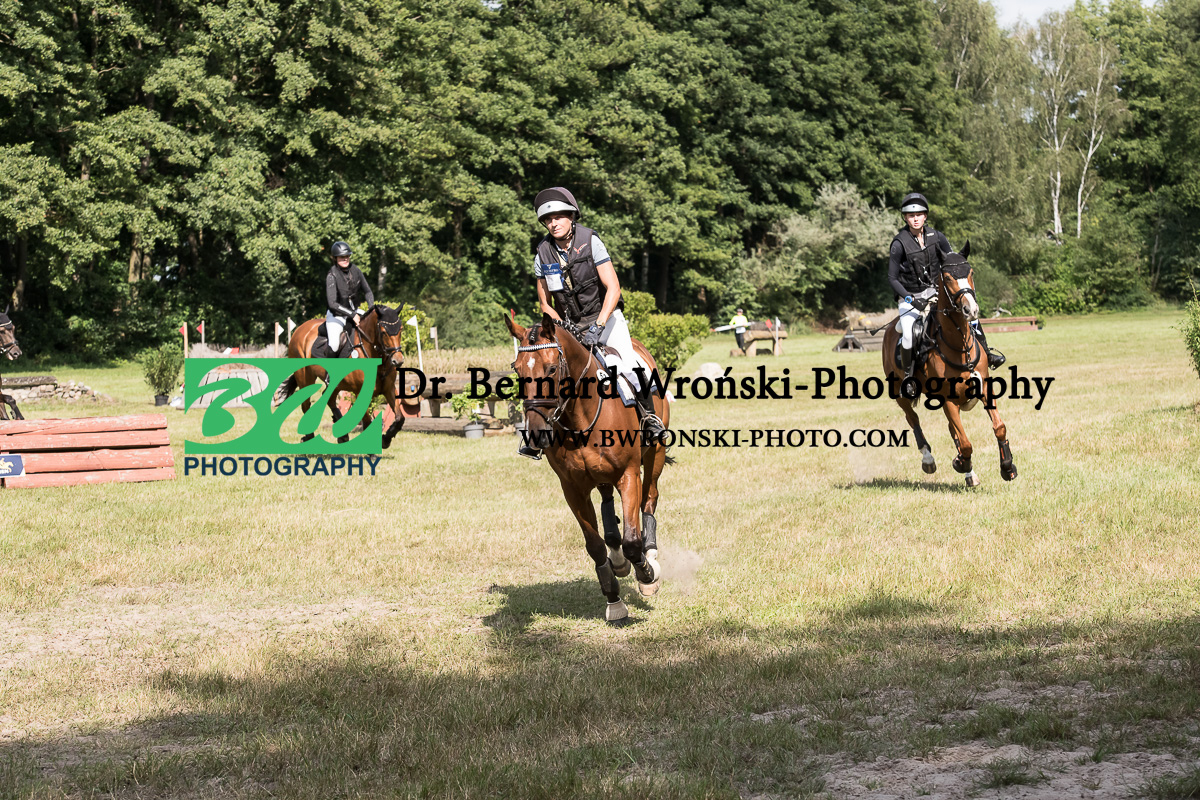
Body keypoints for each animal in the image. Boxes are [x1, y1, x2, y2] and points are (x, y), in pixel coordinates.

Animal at [276, 304, 406, 448]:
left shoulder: (389, 389)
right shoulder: (360, 393)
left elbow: (400, 418)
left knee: (329, 399)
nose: (398, 360)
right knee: (306, 405)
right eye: (383, 332)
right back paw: (309, 438)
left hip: (336, 384)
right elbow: (367, 421)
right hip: (305, 378)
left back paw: (342, 436)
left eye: (400, 330)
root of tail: (299, 330)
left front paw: (386, 440)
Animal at [504, 312, 670, 622]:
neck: (580, 415)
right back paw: (617, 558)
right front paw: (614, 600)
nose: (536, 434)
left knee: (649, 499)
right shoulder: (572, 488)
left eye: (552, 368)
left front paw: (646, 574)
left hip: (656, 454)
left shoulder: (629, 475)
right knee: (607, 504)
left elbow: (633, 541)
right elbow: (594, 545)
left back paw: (650, 557)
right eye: (517, 371)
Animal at [881, 242, 1018, 487]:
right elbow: (965, 442)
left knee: (950, 428)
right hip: (900, 393)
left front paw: (1007, 467)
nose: (971, 310)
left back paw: (969, 472)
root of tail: (889, 328)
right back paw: (929, 460)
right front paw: (961, 462)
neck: (958, 345)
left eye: (970, 272)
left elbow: (998, 428)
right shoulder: (949, 400)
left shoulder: (984, 389)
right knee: (913, 419)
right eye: (947, 277)